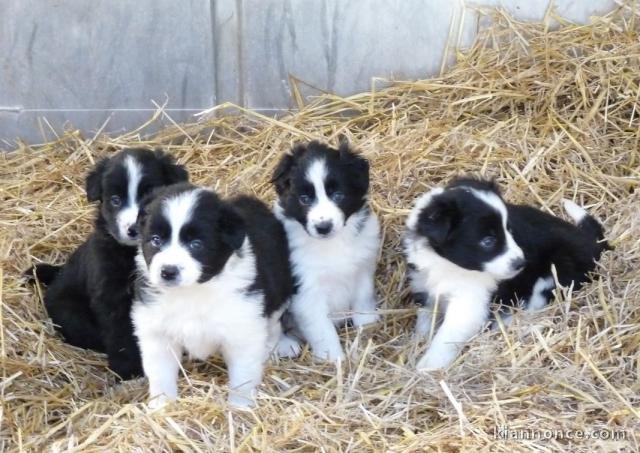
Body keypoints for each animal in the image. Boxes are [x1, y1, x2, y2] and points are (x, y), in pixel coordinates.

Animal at [25, 148, 190, 378]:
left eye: (150, 193)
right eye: (115, 200)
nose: (134, 228)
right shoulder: (112, 295)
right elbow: (120, 334)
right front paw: (127, 369)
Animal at [132, 182, 292, 408]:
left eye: (196, 244)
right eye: (155, 240)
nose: (168, 271)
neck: (192, 292)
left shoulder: (243, 329)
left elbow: (243, 378)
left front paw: (240, 408)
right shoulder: (157, 333)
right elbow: (161, 376)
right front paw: (161, 407)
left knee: (274, 324)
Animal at [270, 140, 380, 360]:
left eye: (338, 195)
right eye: (304, 199)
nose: (324, 227)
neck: (331, 243)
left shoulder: (362, 267)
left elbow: (363, 298)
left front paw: (367, 324)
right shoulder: (307, 291)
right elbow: (322, 329)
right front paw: (334, 358)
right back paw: (285, 346)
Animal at [404, 175, 608, 370]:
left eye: (509, 230)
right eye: (488, 241)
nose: (521, 263)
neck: (448, 266)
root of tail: (590, 243)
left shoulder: (469, 302)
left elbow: (447, 335)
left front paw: (429, 366)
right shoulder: (424, 286)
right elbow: (425, 319)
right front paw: (419, 342)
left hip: (553, 277)